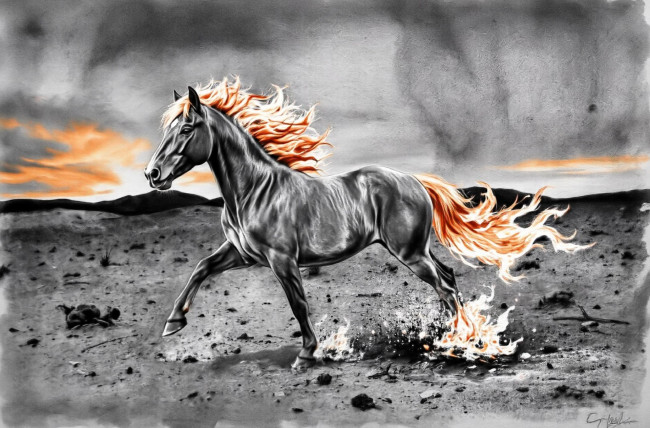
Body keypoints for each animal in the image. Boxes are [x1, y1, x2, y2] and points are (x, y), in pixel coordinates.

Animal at [145, 78, 587, 369]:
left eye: (187, 128)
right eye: (168, 128)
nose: (152, 174)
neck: (256, 189)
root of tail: (416, 181)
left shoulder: (282, 259)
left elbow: (298, 303)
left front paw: (307, 354)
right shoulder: (243, 253)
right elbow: (201, 268)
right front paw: (173, 323)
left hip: (409, 252)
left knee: (445, 284)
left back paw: (460, 340)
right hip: (417, 251)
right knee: (448, 279)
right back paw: (450, 334)